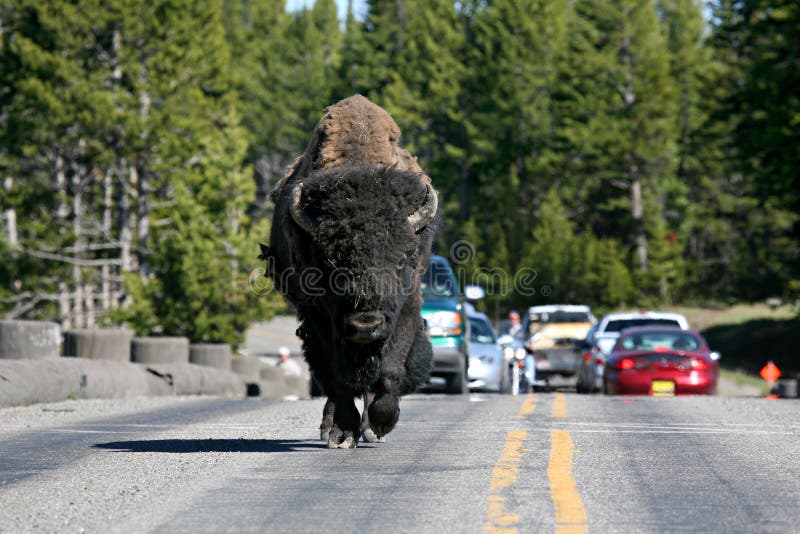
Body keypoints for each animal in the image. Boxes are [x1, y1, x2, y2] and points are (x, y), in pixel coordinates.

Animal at [260, 95, 438, 448]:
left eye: (402, 258)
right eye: (329, 261)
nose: (365, 325)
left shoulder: (406, 306)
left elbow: (388, 370)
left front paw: (381, 423)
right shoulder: (316, 315)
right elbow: (336, 376)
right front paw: (343, 432)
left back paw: (369, 428)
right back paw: (334, 428)